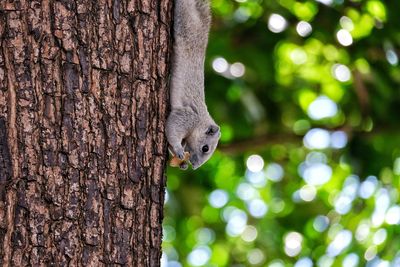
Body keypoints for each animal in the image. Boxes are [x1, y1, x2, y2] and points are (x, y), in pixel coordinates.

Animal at [166, 0, 222, 171]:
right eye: (205, 148)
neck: (200, 122)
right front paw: (178, 149)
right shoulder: (187, 116)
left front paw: (182, 162)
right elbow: (172, 129)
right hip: (184, 22)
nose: (195, 166)